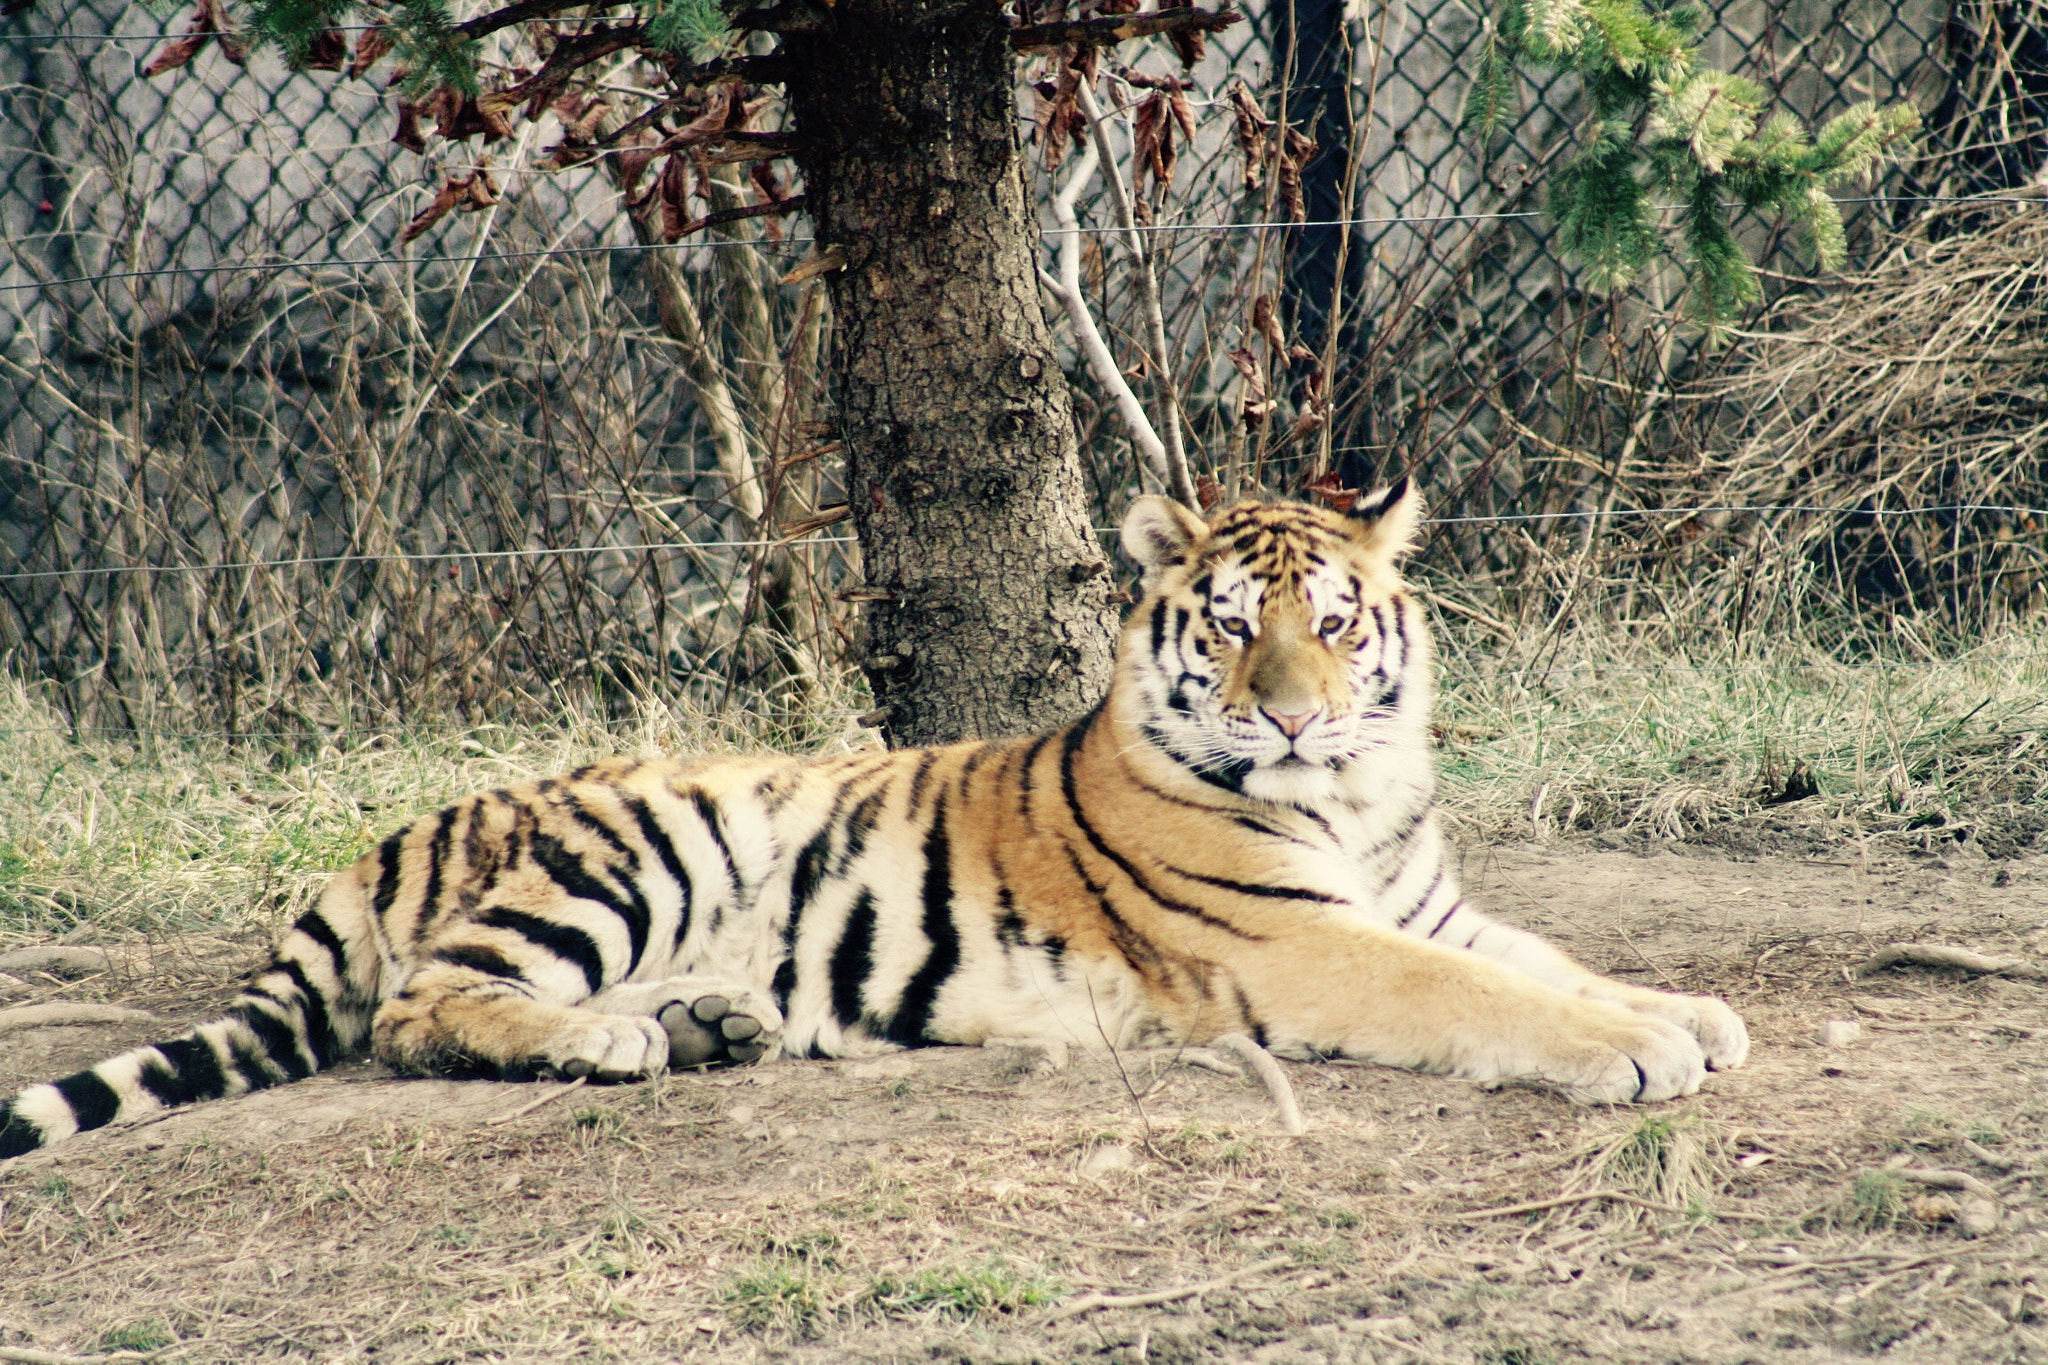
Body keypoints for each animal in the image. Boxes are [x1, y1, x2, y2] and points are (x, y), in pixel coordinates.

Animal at [0, 483, 1748, 1160]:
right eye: (1238, 629)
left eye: (1333, 620)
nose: (1300, 716)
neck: (1360, 800)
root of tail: (399, 832)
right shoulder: (1306, 950)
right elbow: (1499, 998)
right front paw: (1637, 1051)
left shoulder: (1423, 902)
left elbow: (1552, 957)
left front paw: (1694, 1010)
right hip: (630, 847)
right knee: (422, 1006)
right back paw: (612, 1045)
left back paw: (711, 1025)